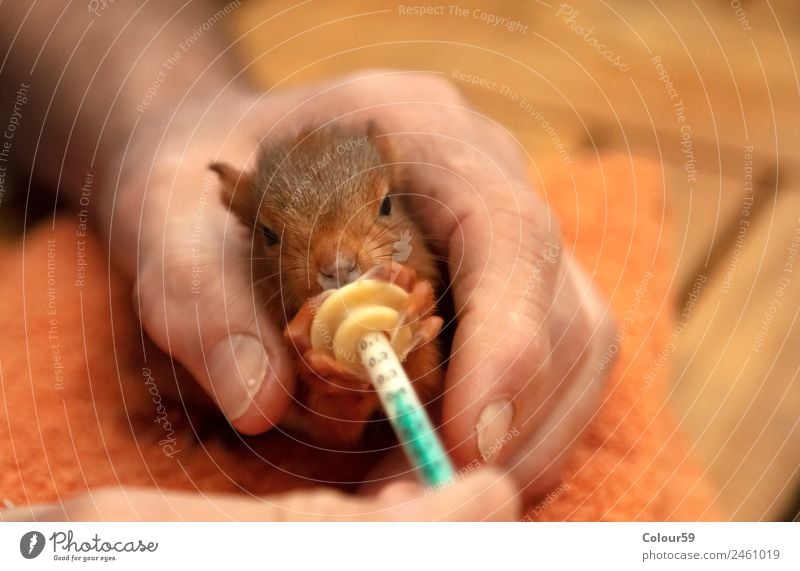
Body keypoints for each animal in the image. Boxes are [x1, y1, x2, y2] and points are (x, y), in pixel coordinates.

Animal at [209, 125, 446, 444]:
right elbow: (336, 421)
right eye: (268, 234)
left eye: (387, 204)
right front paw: (332, 375)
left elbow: (426, 382)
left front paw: (415, 309)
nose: (338, 266)